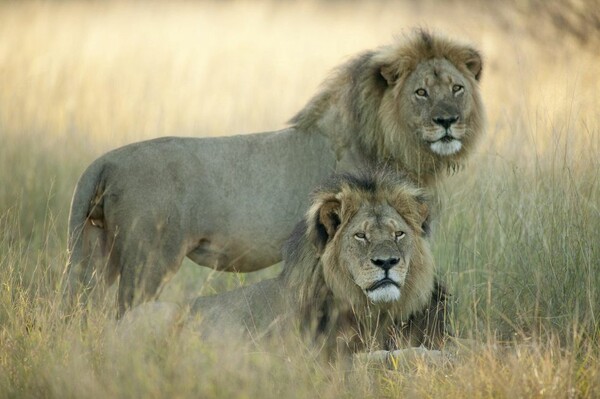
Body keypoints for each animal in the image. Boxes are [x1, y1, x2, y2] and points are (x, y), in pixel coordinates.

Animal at [65, 28, 486, 318]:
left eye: (457, 88)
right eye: (421, 93)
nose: (447, 121)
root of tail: (104, 162)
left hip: (94, 252)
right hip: (148, 260)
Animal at [122, 170, 458, 364]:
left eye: (398, 233)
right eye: (360, 236)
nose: (387, 262)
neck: (375, 310)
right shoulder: (322, 358)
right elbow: (386, 357)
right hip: (157, 313)